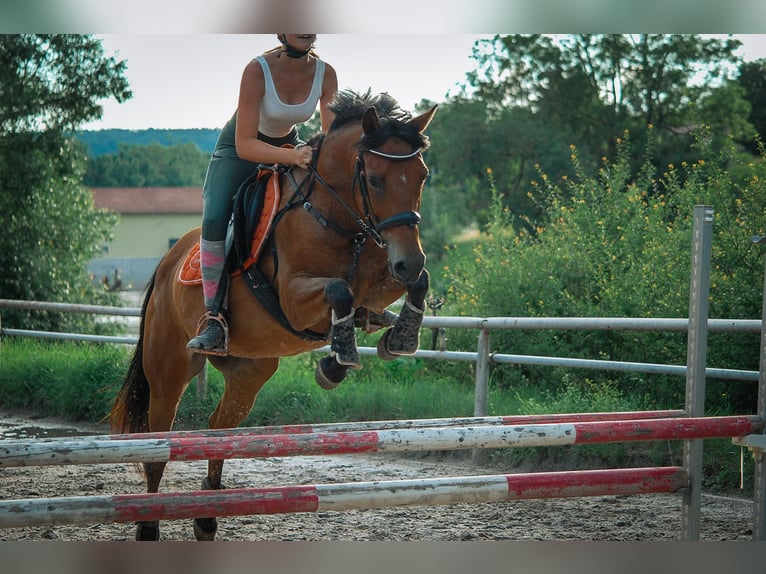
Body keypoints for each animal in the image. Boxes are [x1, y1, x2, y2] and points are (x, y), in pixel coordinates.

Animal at [111, 91, 440, 544]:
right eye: (374, 179)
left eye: (421, 176)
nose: (409, 259)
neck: (337, 217)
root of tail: (166, 264)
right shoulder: (294, 299)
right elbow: (339, 291)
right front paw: (336, 362)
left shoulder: (382, 273)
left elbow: (411, 286)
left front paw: (397, 338)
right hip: (169, 370)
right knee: (158, 443)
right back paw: (148, 523)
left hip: (249, 372)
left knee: (219, 429)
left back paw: (207, 516)